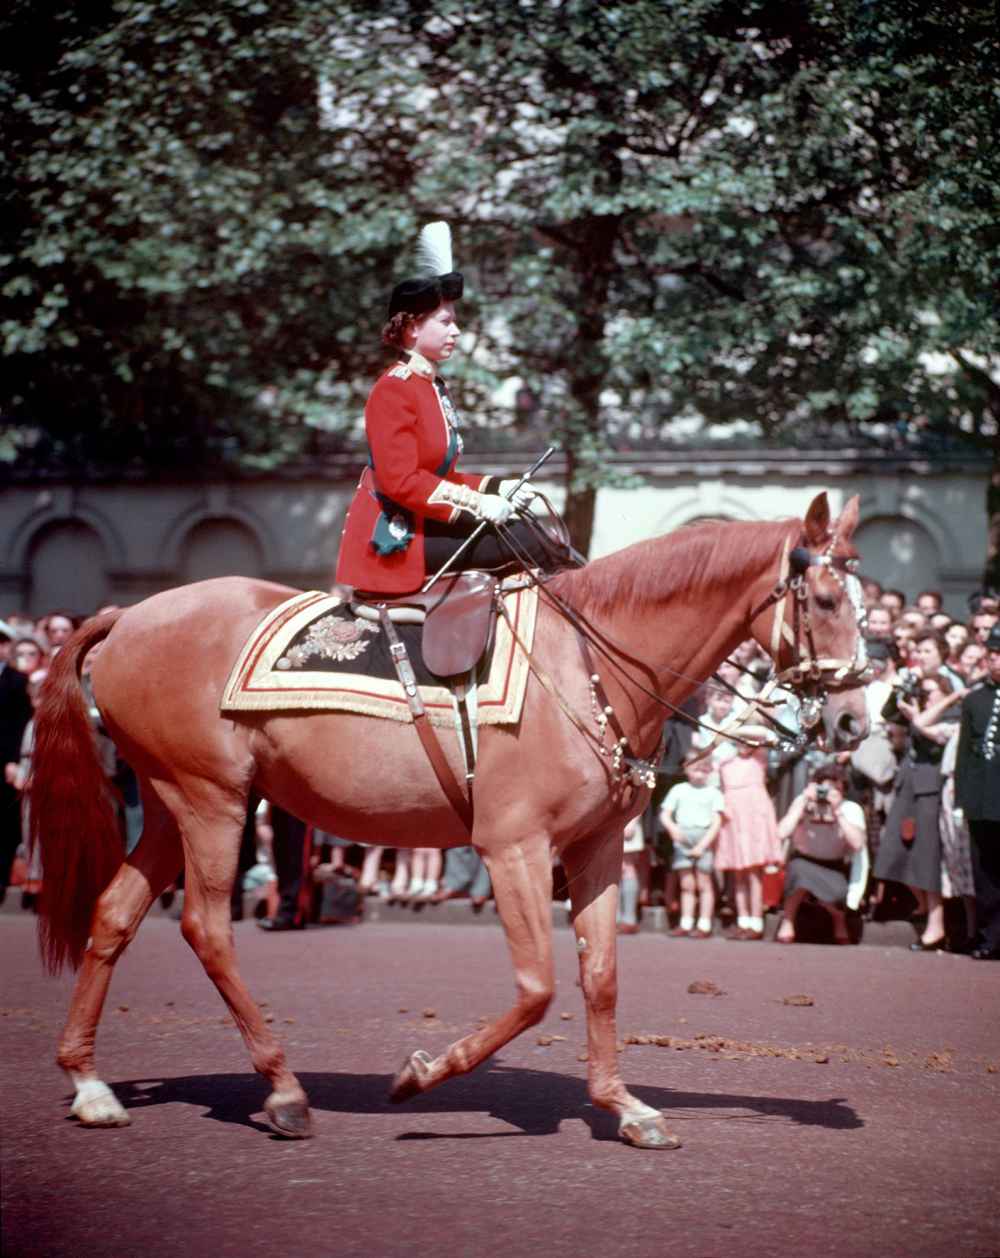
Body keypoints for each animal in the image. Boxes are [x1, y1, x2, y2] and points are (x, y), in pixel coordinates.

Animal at [33, 488, 870, 1152]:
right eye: (827, 601)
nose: (857, 721)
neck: (588, 660)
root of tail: (128, 615)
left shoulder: (596, 848)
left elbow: (599, 976)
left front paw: (623, 1106)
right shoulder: (514, 847)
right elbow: (537, 987)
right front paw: (425, 1073)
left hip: (170, 804)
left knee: (113, 916)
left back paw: (89, 1084)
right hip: (212, 803)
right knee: (206, 929)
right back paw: (283, 1091)